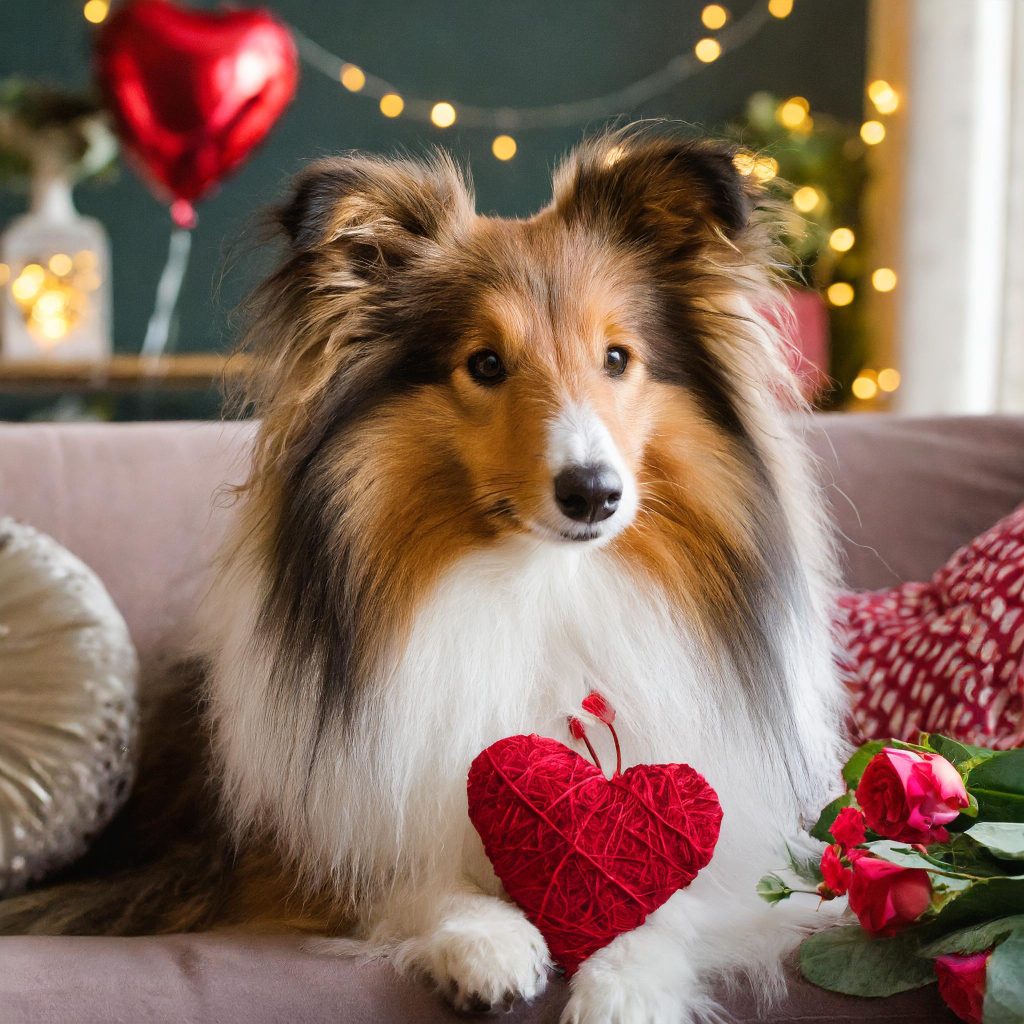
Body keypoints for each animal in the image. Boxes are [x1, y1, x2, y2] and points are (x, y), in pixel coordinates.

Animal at [2, 130, 847, 1024]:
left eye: (618, 357)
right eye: (485, 363)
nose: (594, 493)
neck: (541, 589)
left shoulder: (748, 849)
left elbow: (676, 899)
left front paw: (626, 987)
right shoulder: (302, 852)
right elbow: (412, 876)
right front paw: (489, 943)